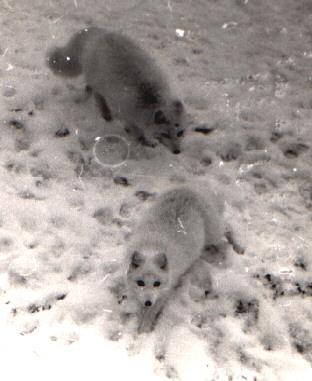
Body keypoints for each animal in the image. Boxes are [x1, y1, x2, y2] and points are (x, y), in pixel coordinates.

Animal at [47, 26, 185, 154]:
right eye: (165, 134)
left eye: (180, 132)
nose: (177, 151)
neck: (150, 96)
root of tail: (97, 33)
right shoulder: (128, 114)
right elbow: (137, 132)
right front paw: (145, 142)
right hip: (100, 82)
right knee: (98, 95)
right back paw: (106, 113)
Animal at [125, 186, 228, 332]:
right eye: (140, 282)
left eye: (157, 283)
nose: (148, 302)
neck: (151, 248)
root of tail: (189, 188)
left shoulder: (165, 290)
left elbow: (151, 312)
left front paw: (144, 331)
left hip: (213, 234)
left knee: (225, 235)